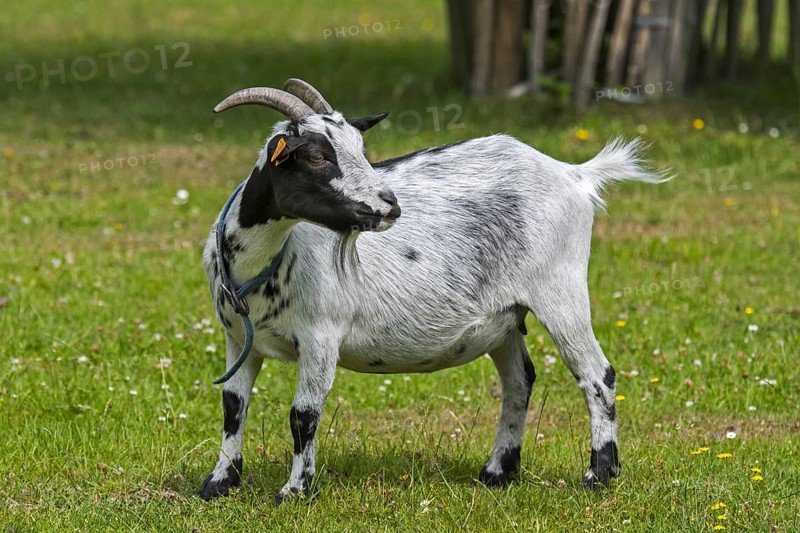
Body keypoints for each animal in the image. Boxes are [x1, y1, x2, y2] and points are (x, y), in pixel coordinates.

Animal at [198, 79, 666, 504]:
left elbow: (303, 416)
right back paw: (498, 472)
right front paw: (219, 483)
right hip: (505, 318)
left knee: (597, 375)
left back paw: (598, 476)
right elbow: (233, 406)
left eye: (362, 150)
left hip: (560, 289)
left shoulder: (320, 337)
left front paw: (294, 492)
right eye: (315, 156)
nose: (390, 205)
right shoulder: (238, 339)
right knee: (520, 381)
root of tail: (574, 175)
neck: (262, 263)